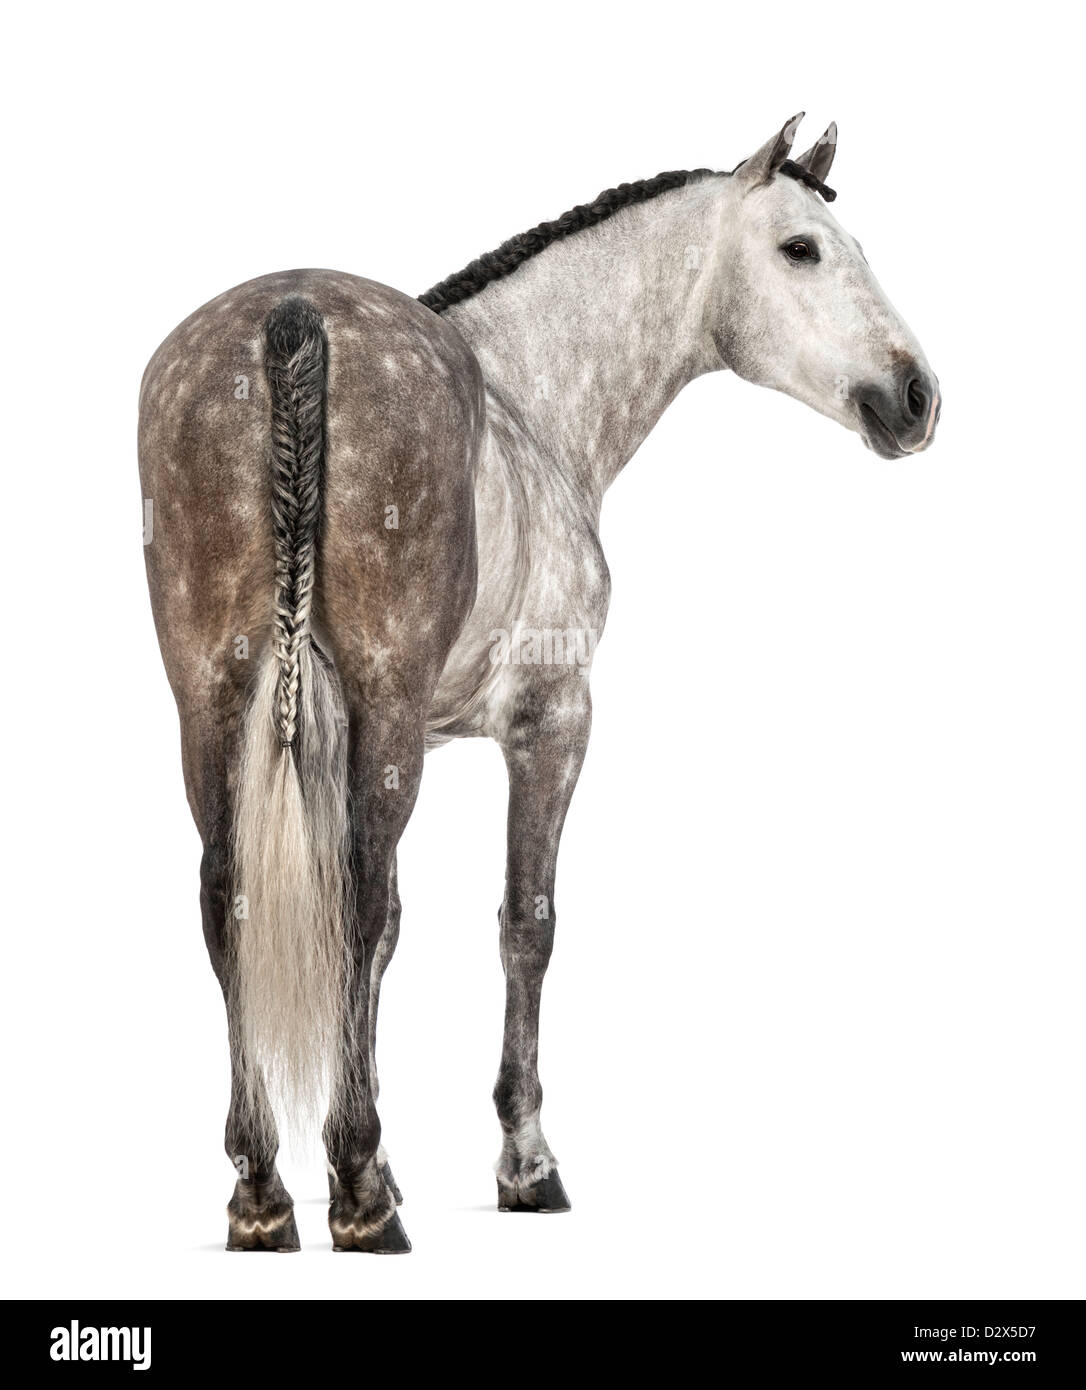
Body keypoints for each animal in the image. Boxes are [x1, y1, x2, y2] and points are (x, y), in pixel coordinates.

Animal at [137, 113, 939, 1256]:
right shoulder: (549, 721)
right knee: (356, 904)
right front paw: (519, 1163)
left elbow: (375, 945)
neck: (527, 396)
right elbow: (523, 922)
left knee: (229, 900)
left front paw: (376, 1162)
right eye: (802, 248)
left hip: (210, 707)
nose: (916, 397)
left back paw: (264, 1193)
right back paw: (358, 1203)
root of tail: (292, 318)